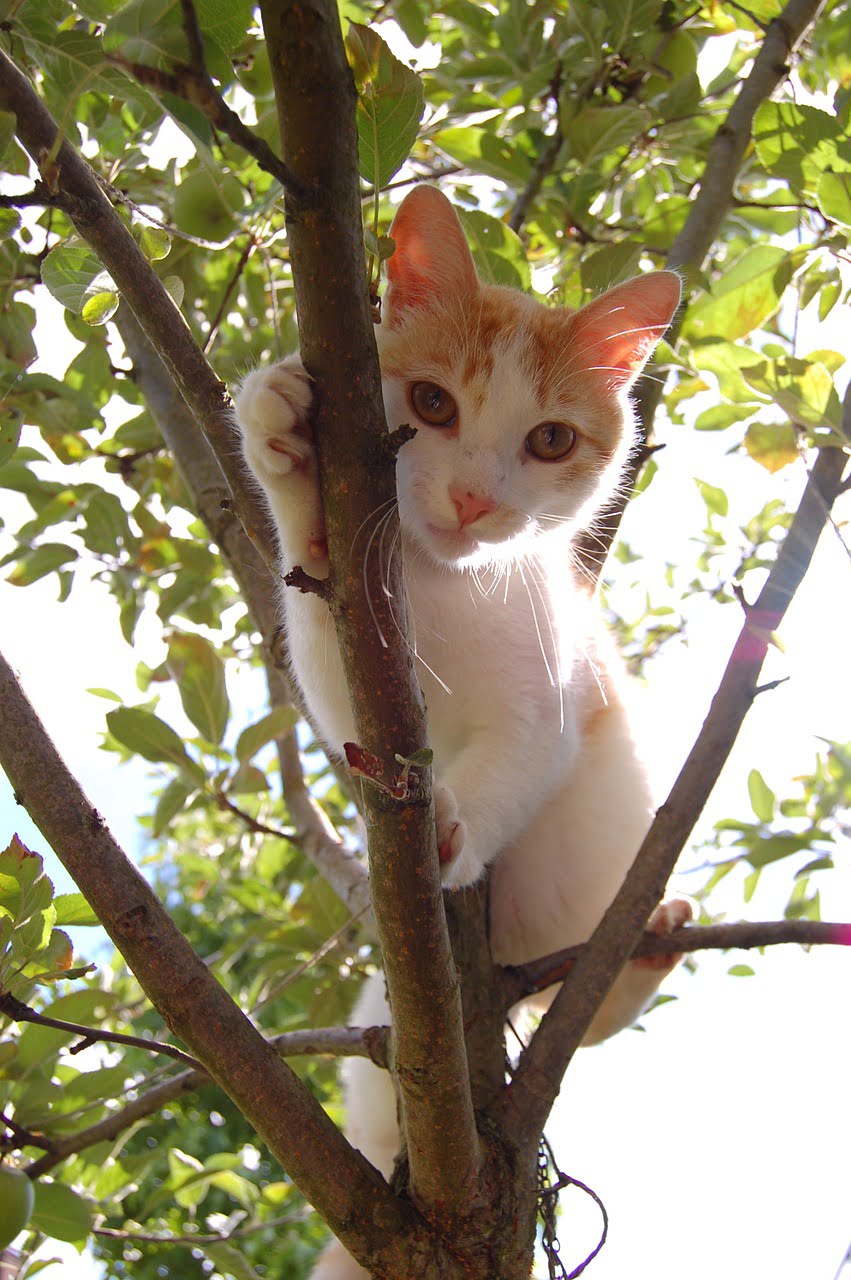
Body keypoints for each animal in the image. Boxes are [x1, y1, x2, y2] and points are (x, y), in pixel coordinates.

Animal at [232, 183, 691, 1280]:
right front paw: (289, 444)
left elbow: (518, 759)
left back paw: (642, 952)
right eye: (431, 405)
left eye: (550, 441)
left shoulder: (548, 694)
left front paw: (446, 822)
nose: (474, 498)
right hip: (381, 1033)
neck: (443, 580)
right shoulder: (343, 663)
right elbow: (321, 626)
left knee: (589, 1015)